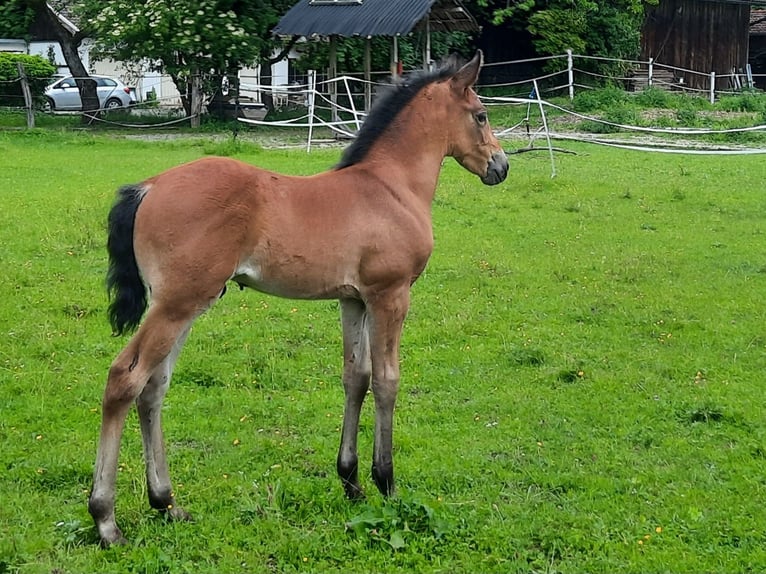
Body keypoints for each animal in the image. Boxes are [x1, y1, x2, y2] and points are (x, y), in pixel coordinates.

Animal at [88, 50, 509, 546]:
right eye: (480, 115)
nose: (501, 167)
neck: (391, 187)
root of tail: (149, 186)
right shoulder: (390, 295)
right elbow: (388, 380)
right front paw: (385, 481)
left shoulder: (354, 300)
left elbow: (356, 378)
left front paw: (351, 481)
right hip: (177, 305)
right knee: (125, 379)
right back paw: (106, 520)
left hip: (184, 304)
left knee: (153, 389)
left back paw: (167, 503)